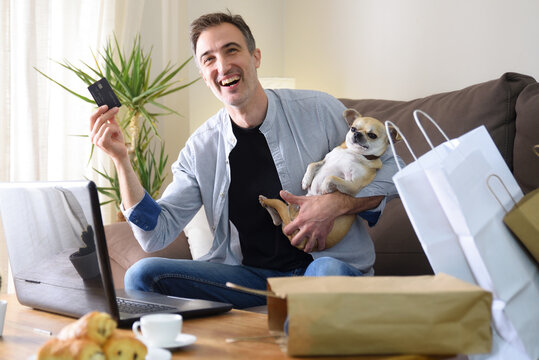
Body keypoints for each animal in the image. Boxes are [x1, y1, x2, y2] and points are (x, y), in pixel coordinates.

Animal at [260, 108, 398, 250]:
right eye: (353, 128)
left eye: (372, 135)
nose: (357, 133)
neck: (354, 152)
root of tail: (298, 242)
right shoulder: (325, 160)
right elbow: (312, 164)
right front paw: (306, 180)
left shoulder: (353, 185)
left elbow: (331, 177)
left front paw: (325, 188)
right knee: (278, 219)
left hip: (292, 216)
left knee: (283, 213)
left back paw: (275, 201)